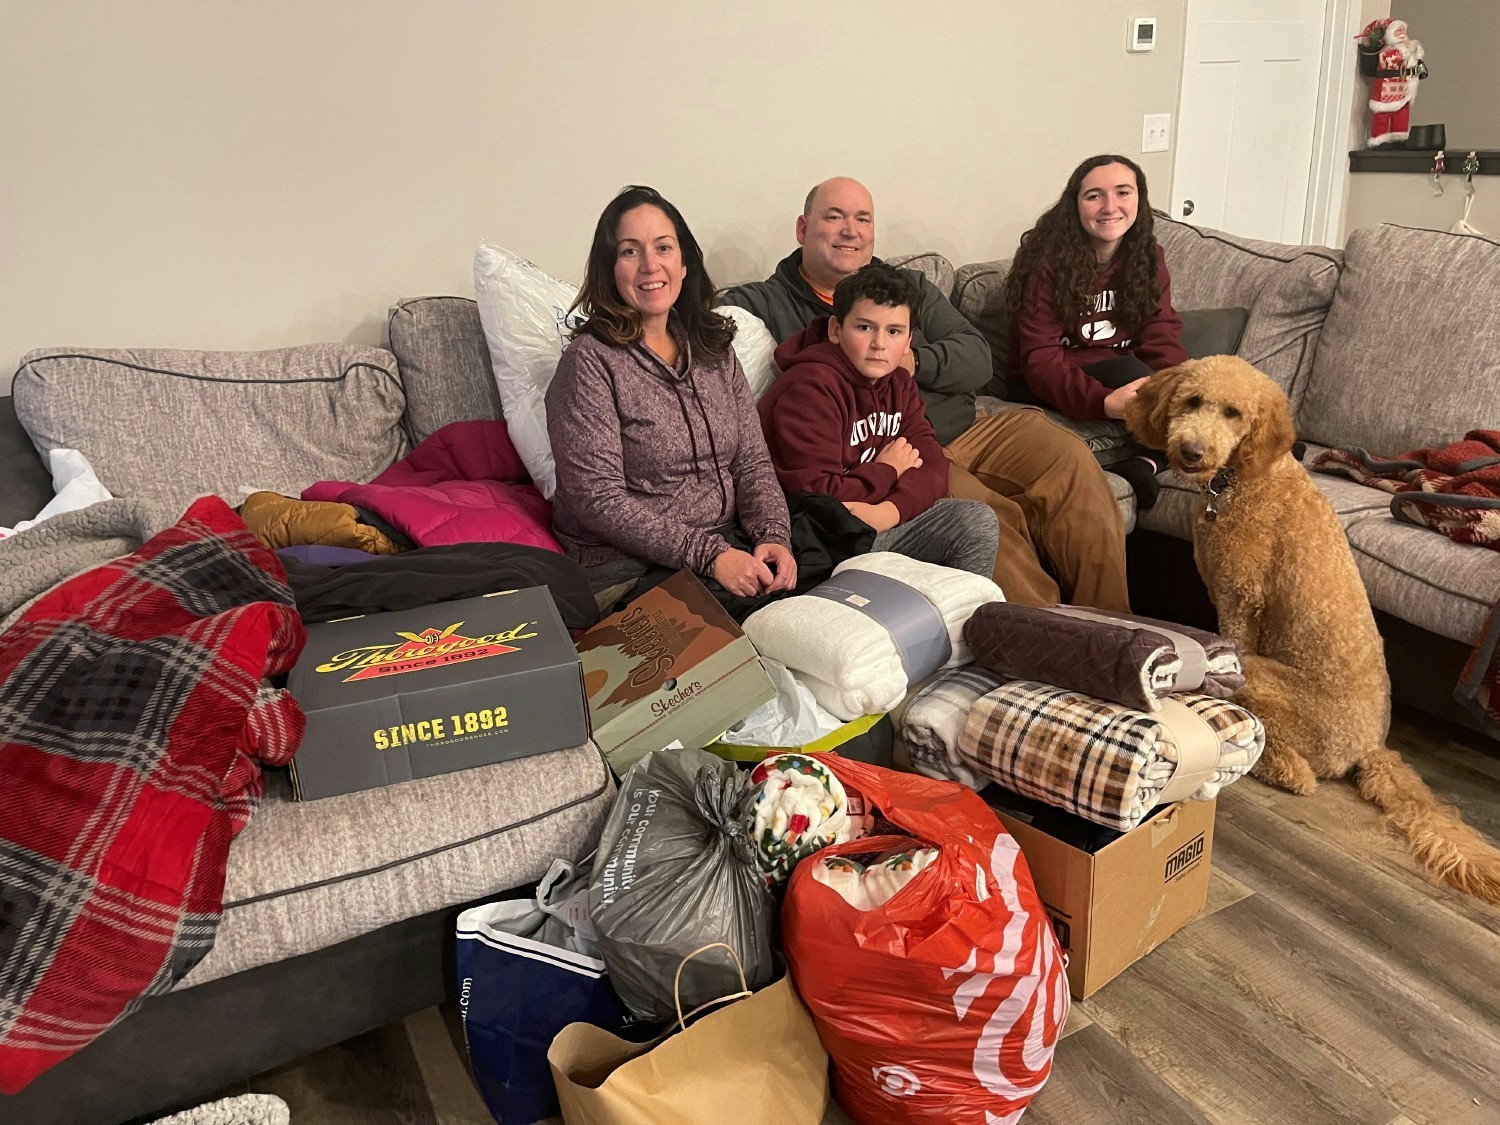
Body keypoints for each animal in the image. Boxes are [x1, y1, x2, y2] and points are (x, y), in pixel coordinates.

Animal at [1128, 358, 1494, 906]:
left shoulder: (1240, 602)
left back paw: (1269, 763)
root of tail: (1371, 748)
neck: (1244, 478)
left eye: (1234, 413)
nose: (1192, 451)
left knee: (1301, 775)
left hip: (1265, 679)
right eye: (1191, 401)